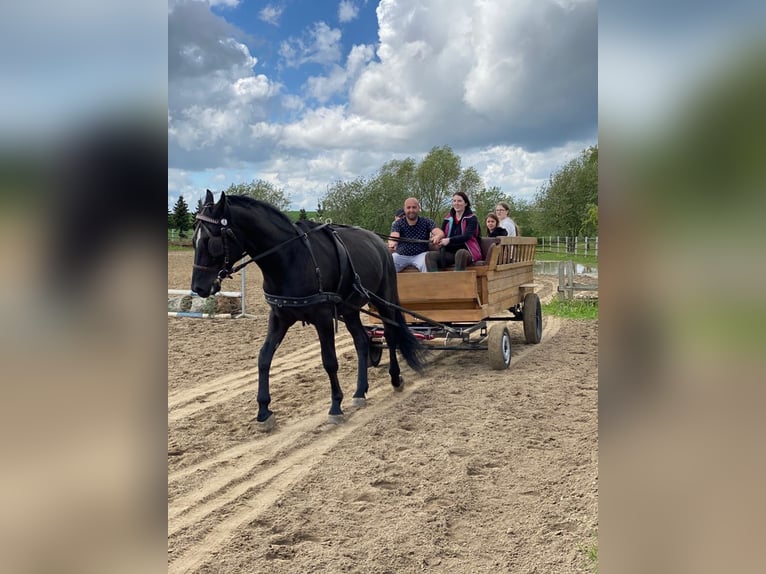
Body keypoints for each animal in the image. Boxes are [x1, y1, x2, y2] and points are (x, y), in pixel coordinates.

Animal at [189, 191, 424, 430]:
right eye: (194, 240)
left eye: (211, 241)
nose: (198, 288)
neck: (290, 259)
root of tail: (379, 241)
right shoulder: (279, 317)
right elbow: (264, 357)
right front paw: (263, 411)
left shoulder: (323, 317)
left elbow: (329, 360)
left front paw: (335, 406)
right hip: (349, 309)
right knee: (362, 341)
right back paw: (360, 391)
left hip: (384, 300)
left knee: (391, 335)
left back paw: (395, 378)